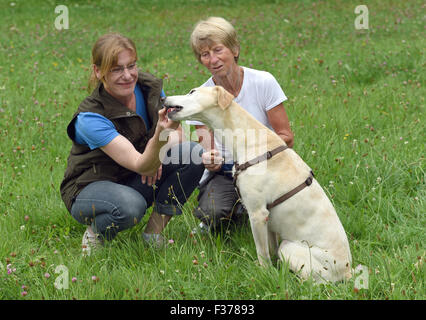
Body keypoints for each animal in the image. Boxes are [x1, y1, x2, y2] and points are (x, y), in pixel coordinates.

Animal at [165, 85, 352, 282]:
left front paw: (264, 273)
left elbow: (262, 252)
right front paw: (273, 268)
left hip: (290, 248)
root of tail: (348, 271)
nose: (163, 99)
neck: (249, 141)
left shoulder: (257, 214)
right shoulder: (268, 219)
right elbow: (271, 249)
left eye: (192, 91)